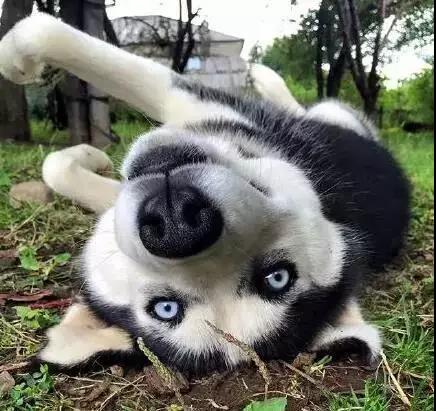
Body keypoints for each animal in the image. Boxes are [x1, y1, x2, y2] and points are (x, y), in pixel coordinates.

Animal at [0, 13, 410, 376]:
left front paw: (18, 59)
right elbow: (56, 166)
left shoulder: (201, 102)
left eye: (277, 277)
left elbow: (45, 31)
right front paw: (89, 155)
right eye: (166, 309)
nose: (177, 223)